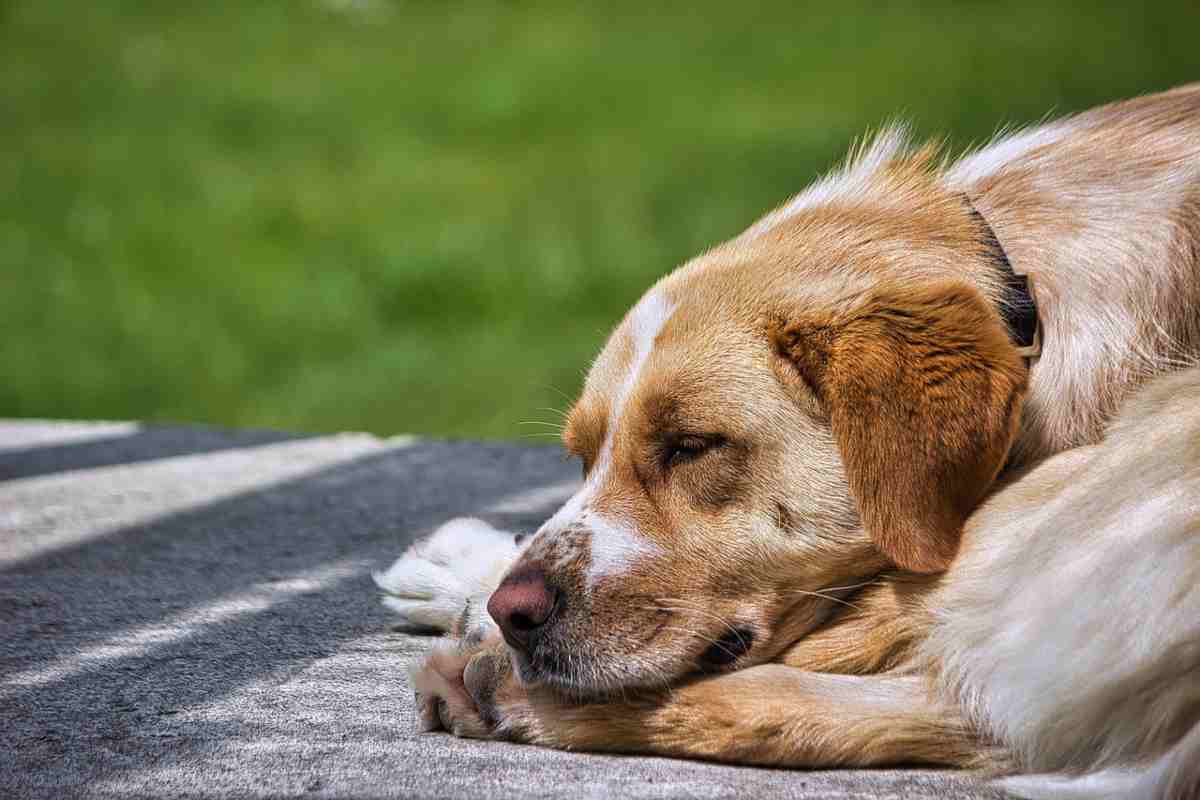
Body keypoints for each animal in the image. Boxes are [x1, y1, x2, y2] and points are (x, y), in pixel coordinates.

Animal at [376, 84, 1200, 796]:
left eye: (690, 446)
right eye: (581, 456)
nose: (514, 613)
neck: (1028, 292)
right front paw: (474, 571)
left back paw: (499, 686)